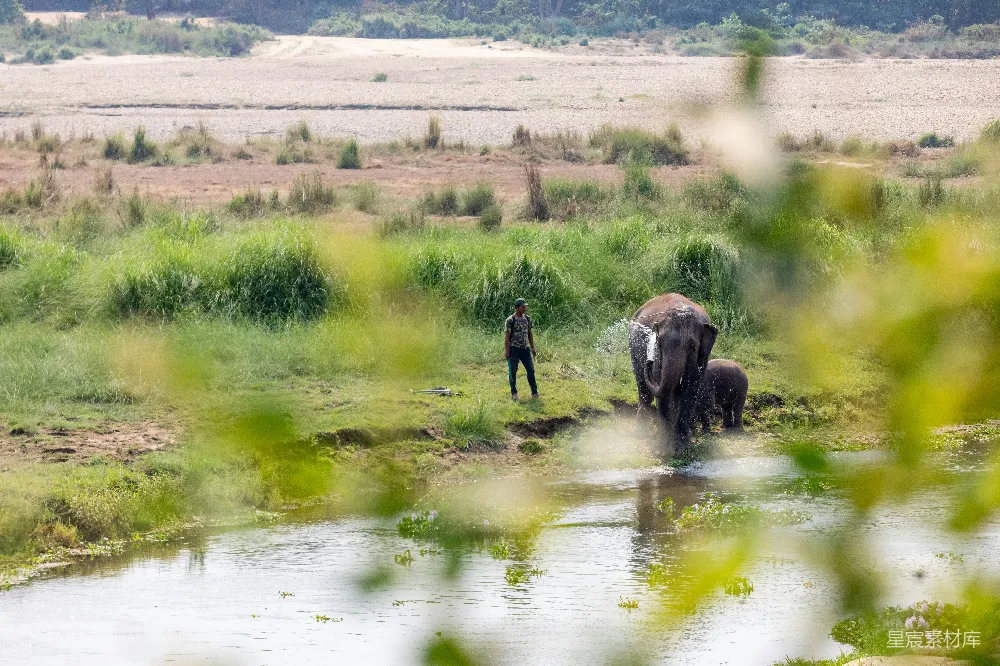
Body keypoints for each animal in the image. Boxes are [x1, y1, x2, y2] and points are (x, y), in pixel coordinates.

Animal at [629, 293, 718, 452]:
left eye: (692, 346)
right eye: (659, 343)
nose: (649, 361)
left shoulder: (702, 357)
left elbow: (690, 388)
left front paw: (682, 448)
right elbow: (662, 390)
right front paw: (663, 451)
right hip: (633, 345)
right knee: (644, 388)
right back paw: (641, 433)